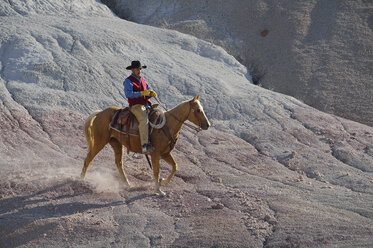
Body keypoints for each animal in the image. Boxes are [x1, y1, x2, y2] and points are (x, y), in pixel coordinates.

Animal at [80, 96, 209, 195]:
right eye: (198, 110)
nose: (207, 125)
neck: (167, 125)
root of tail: (99, 113)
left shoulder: (165, 153)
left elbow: (174, 167)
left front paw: (162, 182)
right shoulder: (155, 154)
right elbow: (156, 171)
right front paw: (158, 190)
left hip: (116, 143)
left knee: (118, 163)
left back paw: (127, 184)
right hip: (99, 142)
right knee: (88, 159)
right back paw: (81, 179)